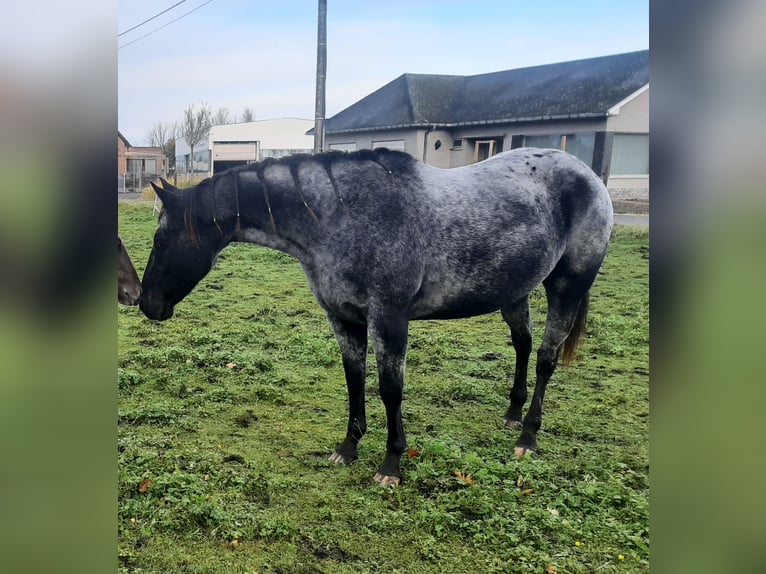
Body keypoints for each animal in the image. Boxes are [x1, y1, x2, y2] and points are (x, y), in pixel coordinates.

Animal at [141, 147, 616, 486]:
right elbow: (354, 380)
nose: (147, 304)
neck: (341, 215)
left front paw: (391, 464)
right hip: (516, 291)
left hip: (567, 287)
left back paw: (528, 437)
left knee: (546, 359)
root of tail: (589, 176)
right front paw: (348, 447)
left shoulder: (389, 318)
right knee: (523, 345)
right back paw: (513, 413)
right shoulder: (343, 318)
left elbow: (390, 390)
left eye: (160, 240)